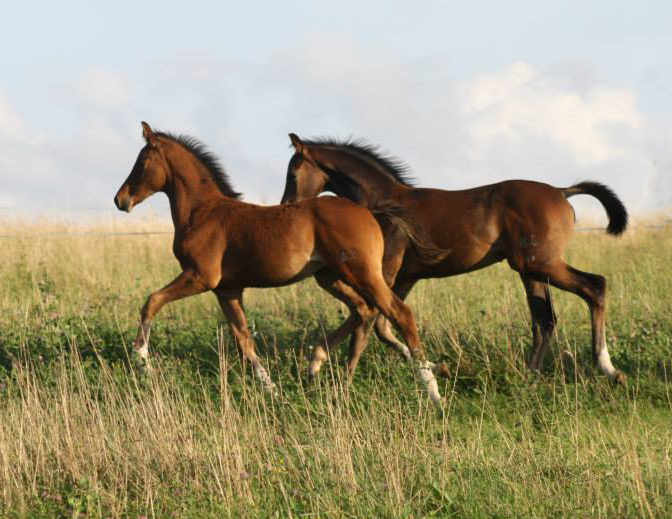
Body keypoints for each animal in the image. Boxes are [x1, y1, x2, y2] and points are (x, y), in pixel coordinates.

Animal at [113, 124, 444, 404]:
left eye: (141, 162)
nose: (120, 199)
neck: (203, 213)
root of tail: (369, 212)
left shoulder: (200, 277)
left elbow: (152, 301)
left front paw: (142, 362)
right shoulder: (228, 290)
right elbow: (245, 343)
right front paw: (273, 391)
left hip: (361, 272)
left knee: (398, 313)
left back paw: (432, 391)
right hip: (329, 277)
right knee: (363, 309)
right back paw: (319, 367)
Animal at [280, 134, 628, 386]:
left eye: (293, 172)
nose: (287, 207)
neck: (384, 203)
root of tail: (562, 191)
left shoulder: (385, 273)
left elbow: (368, 322)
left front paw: (338, 375)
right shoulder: (405, 278)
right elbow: (383, 326)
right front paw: (437, 368)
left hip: (540, 265)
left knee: (595, 287)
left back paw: (608, 369)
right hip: (530, 271)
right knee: (544, 320)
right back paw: (530, 379)